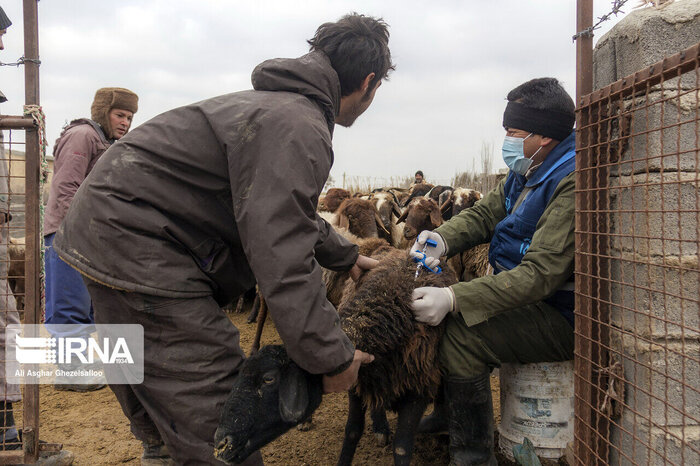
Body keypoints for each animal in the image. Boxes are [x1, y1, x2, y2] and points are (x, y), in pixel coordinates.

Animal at [216, 248, 456, 466]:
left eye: (268, 379)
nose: (221, 443)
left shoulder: (418, 390)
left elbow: (402, 449)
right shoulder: (358, 380)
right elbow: (352, 432)